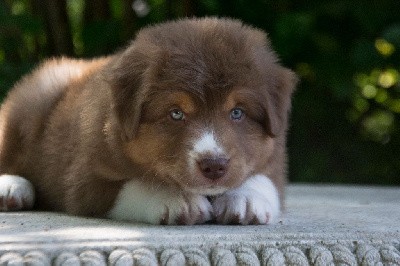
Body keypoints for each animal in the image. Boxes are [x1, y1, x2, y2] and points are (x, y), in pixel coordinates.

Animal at [0, 17, 296, 224]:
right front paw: (176, 198)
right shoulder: (83, 179)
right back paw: (13, 189)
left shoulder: (274, 158)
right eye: (176, 113)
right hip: (32, 101)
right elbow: (132, 185)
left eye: (237, 112)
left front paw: (245, 198)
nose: (214, 165)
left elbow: (264, 177)